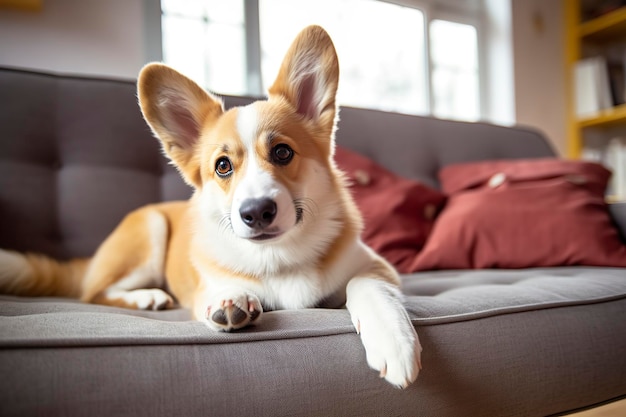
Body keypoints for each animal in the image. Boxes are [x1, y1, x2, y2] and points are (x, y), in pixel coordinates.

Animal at [1, 25, 420, 386]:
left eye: (283, 152)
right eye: (222, 166)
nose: (256, 213)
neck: (279, 256)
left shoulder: (377, 268)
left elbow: (365, 285)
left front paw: (394, 343)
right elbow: (221, 288)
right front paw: (230, 299)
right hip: (150, 228)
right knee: (93, 292)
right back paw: (148, 296)